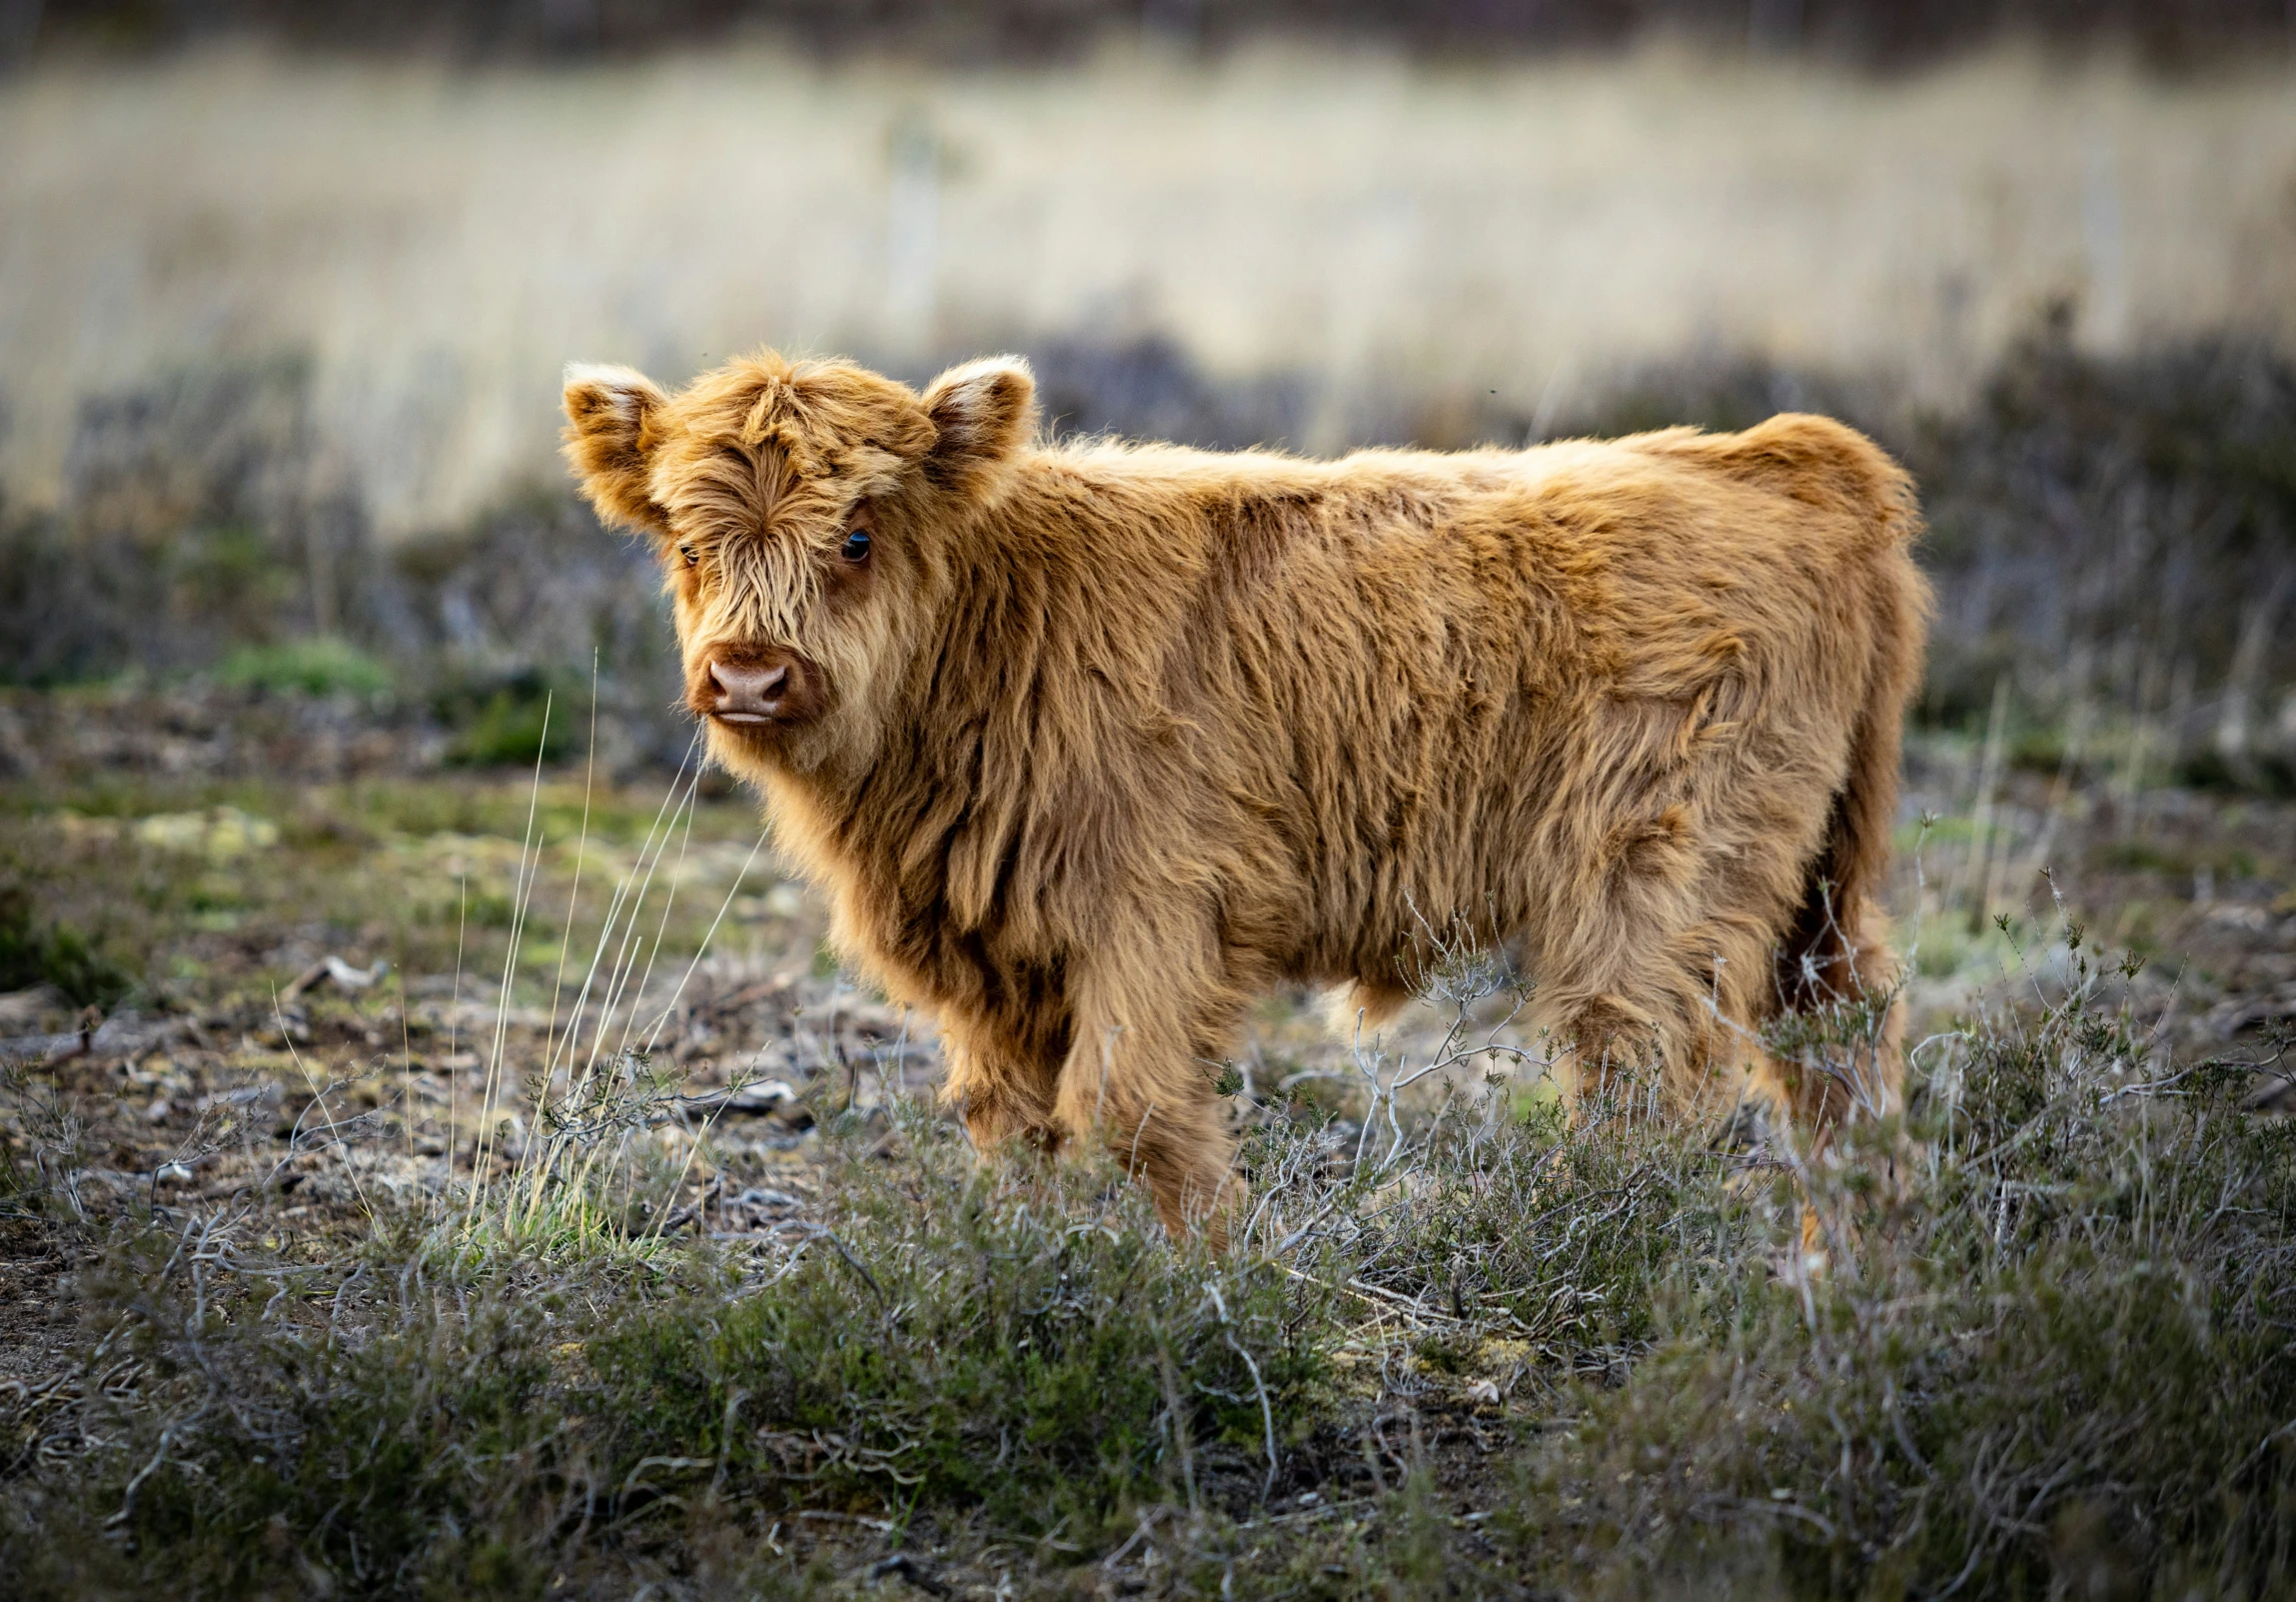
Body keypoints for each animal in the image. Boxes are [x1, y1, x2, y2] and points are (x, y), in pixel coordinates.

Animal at [565, 353, 1928, 1239]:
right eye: (686, 541)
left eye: (856, 536)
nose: (750, 673)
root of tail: (1779, 454)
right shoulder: (992, 955)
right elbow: (1009, 1121)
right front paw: (1024, 1268)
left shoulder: (1155, 910)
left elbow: (1130, 1108)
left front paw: (1213, 1281)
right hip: (1818, 875)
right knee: (1841, 1031)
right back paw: (1856, 1255)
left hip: (1659, 870)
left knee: (1642, 1064)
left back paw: (1602, 1243)